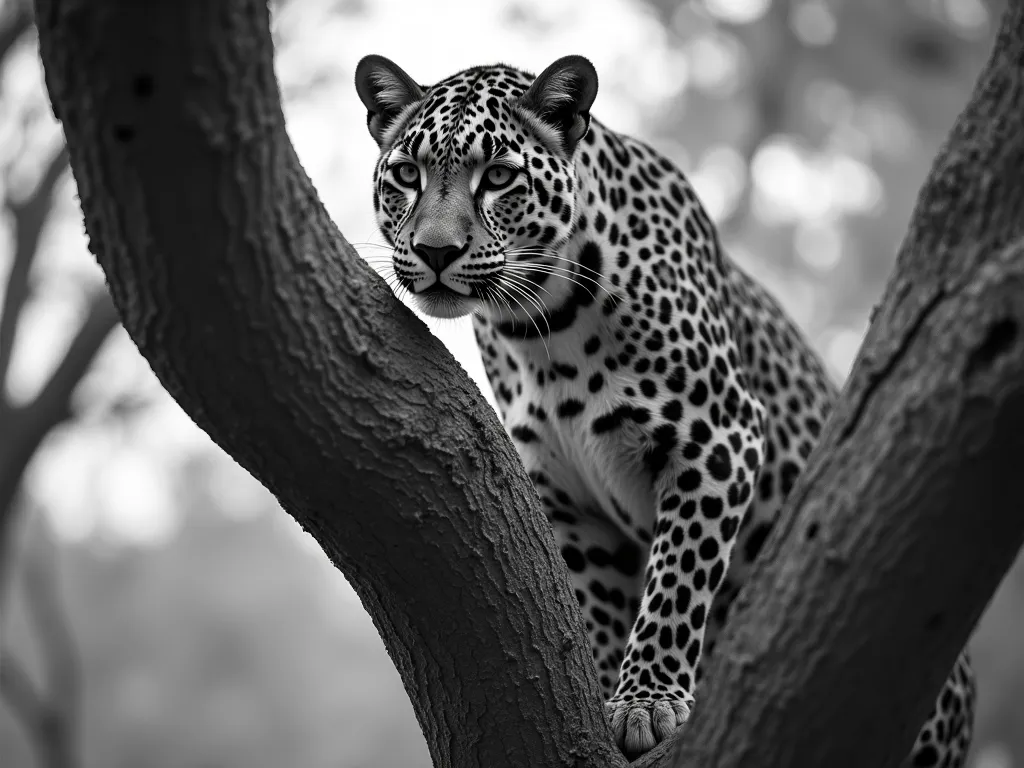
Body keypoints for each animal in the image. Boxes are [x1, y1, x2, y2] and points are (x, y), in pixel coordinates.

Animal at [354, 53, 976, 763]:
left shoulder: (718, 437)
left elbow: (678, 579)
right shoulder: (569, 493)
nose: (435, 252)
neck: (542, 330)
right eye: (407, 174)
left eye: (499, 177)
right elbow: (602, 604)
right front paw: (608, 694)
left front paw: (648, 702)